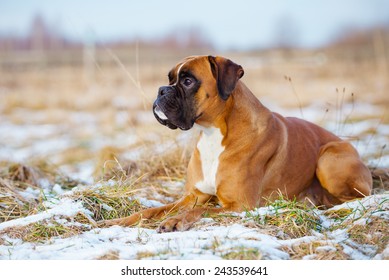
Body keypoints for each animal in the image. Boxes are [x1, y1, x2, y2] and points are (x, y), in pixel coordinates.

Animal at [101, 54, 372, 232]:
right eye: (169, 79)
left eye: (188, 81)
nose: (161, 91)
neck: (213, 133)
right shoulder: (193, 196)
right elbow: (150, 210)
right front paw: (117, 221)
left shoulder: (239, 204)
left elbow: (200, 211)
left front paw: (175, 221)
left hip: (328, 159)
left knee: (356, 198)